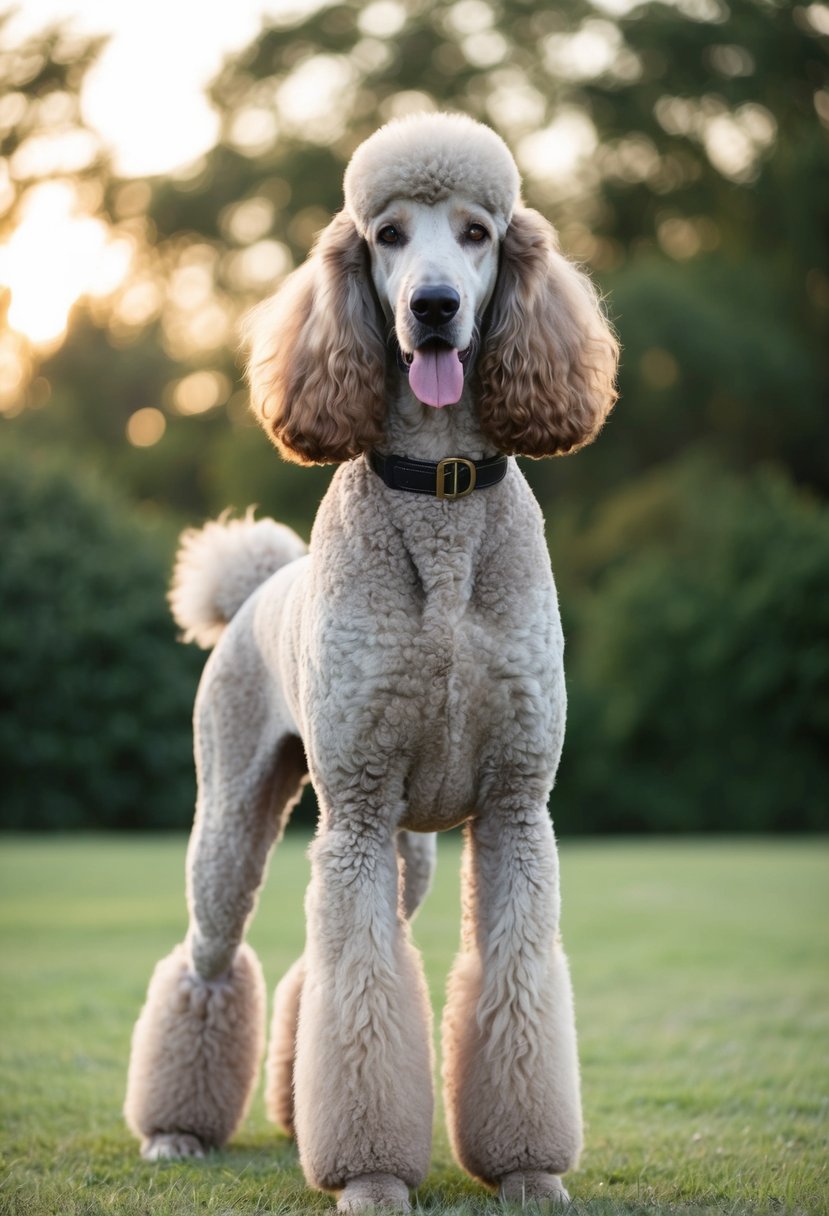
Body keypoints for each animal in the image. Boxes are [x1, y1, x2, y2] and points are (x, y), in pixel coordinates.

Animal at [122, 111, 612, 1206]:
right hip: (244, 814)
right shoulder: (353, 802)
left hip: (404, 846)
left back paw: (291, 1108)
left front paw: (528, 1172)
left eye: (478, 233)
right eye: (386, 236)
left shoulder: (513, 808)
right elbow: (364, 1004)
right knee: (209, 958)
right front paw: (371, 1178)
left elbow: (507, 987)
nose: (433, 309)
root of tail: (257, 587)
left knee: (318, 971)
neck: (439, 492)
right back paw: (176, 1130)